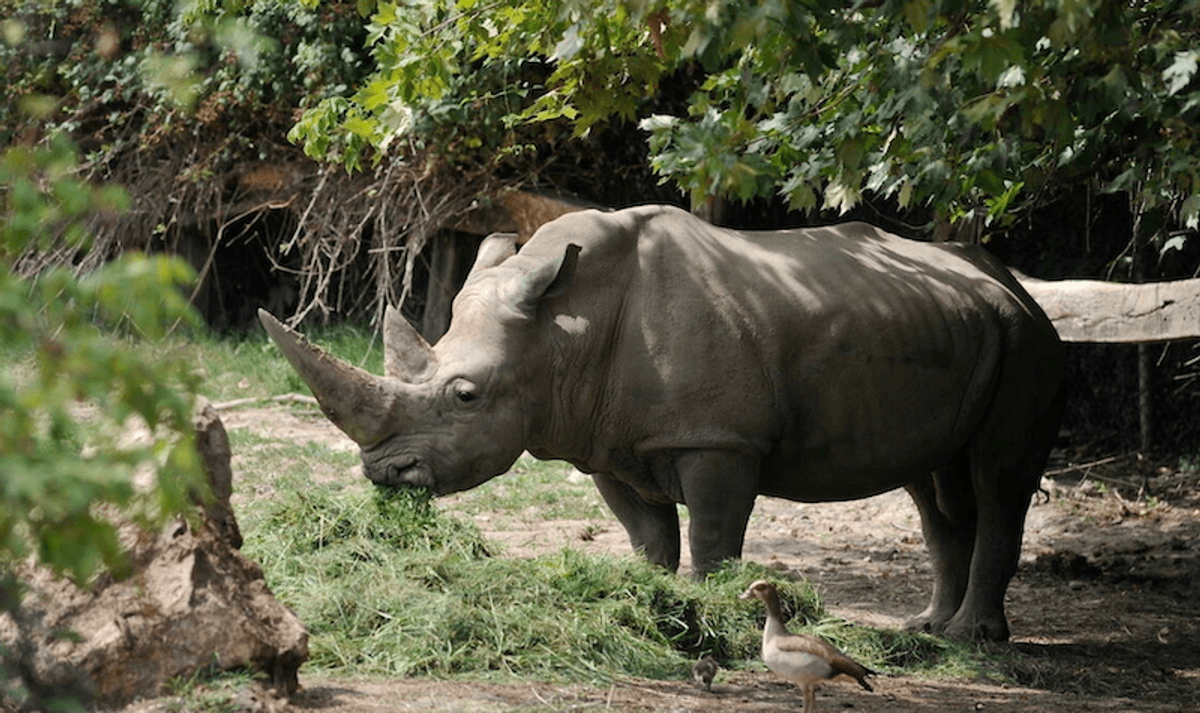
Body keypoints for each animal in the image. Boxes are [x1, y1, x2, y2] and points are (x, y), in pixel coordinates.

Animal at [259, 204, 1064, 641]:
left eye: (464, 395)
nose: (383, 474)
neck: (562, 329)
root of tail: (1013, 283)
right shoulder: (603, 439)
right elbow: (646, 536)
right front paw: (645, 603)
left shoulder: (717, 440)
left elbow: (711, 535)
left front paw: (719, 609)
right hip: (959, 329)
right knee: (933, 485)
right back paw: (928, 628)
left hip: (1027, 342)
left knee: (995, 479)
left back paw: (972, 637)